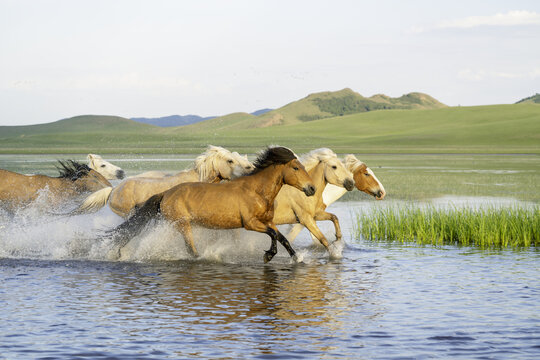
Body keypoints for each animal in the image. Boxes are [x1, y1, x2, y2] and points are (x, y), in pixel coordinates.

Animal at [109, 145, 316, 262]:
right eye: (296, 168)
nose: (312, 188)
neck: (257, 192)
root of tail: (166, 193)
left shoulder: (268, 221)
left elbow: (282, 237)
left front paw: (296, 258)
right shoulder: (250, 224)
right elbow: (273, 235)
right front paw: (268, 255)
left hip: (173, 226)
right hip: (182, 226)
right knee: (191, 250)